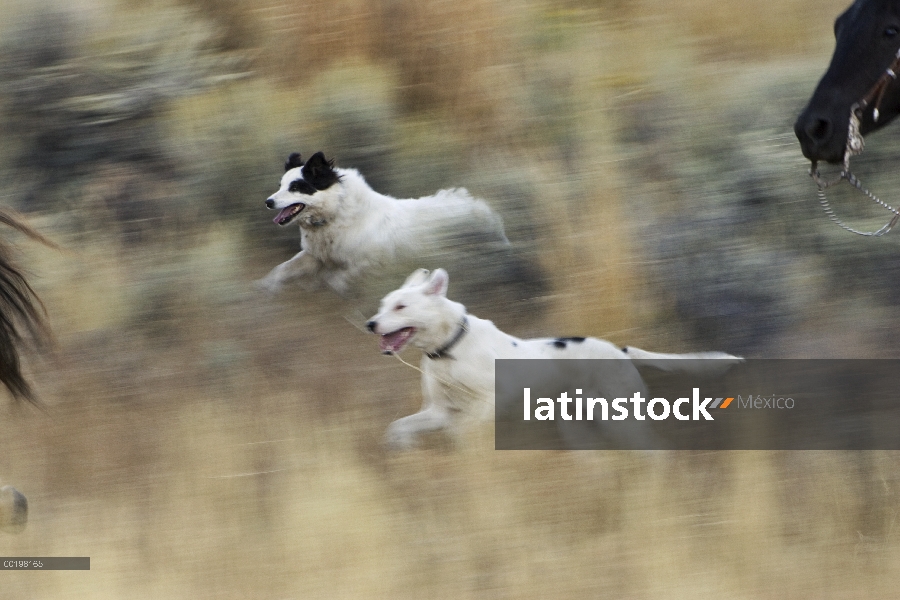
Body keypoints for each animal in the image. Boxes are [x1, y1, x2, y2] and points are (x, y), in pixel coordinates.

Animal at [256, 152, 510, 296]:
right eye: (280, 185)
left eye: (296, 187)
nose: (268, 202)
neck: (335, 215)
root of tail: (485, 211)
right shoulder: (314, 256)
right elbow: (281, 270)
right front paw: (264, 289)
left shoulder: (369, 263)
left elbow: (335, 280)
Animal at [362, 268, 740, 450]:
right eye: (383, 305)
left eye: (401, 307)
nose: (370, 324)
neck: (449, 351)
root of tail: (622, 350)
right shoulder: (439, 411)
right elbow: (399, 427)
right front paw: (402, 448)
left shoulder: (493, 399)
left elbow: (467, 429)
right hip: (577, 428)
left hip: (621, 420)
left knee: (656, 449)